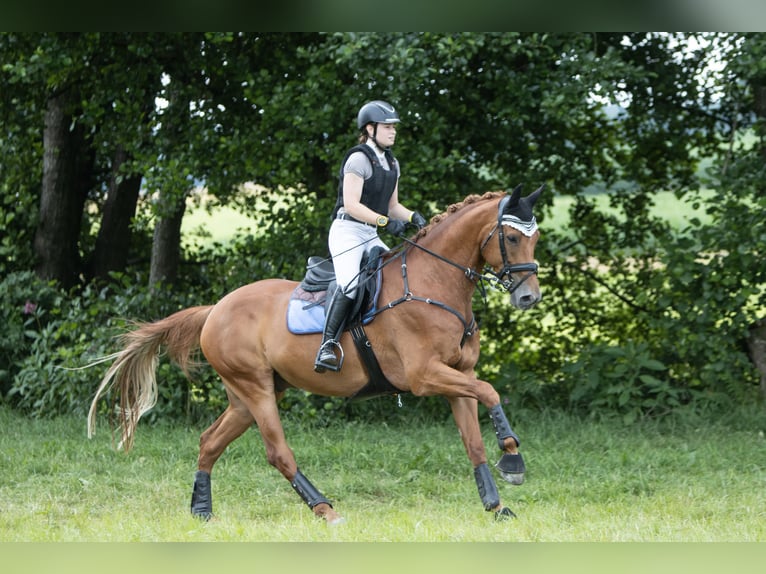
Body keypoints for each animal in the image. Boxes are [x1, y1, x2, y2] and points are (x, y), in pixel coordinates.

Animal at [87, 186, 544, 528]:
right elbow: (490, 391)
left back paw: (202, 511)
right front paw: (514, 459)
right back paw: (325, 510)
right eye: (512, 237)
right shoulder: (425, 376)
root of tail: (215, 309)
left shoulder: (456, 375)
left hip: (248, 395)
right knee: (277, 452)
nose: (528, 297)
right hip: (255, 389)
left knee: (209, 441)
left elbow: (474, 441)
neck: (435, 283)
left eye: (535, 237)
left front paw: (496, 503)